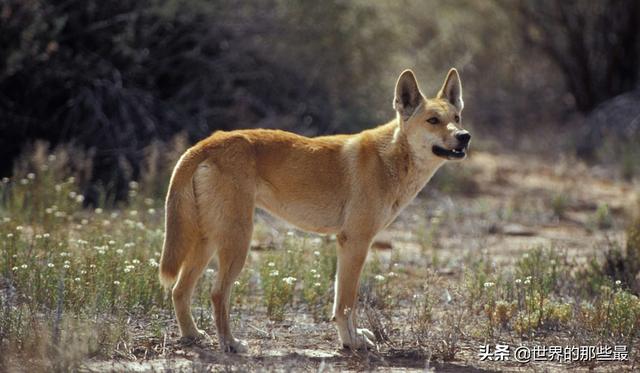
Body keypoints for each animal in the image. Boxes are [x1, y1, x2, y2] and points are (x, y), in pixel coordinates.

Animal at [160, 68, 470, 350]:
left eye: (456, 118)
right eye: (433, 120)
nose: (465, 136)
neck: (391, 159)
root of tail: (206, 142)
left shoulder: (349, 244)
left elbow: (342, 302)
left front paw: (354, 337)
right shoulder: (356, 241)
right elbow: (346, 303)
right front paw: (351, 342)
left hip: (208, 240)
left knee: (179, 290)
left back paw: (192, 335)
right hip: (237, 240)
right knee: (216, 293)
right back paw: (230, 343)